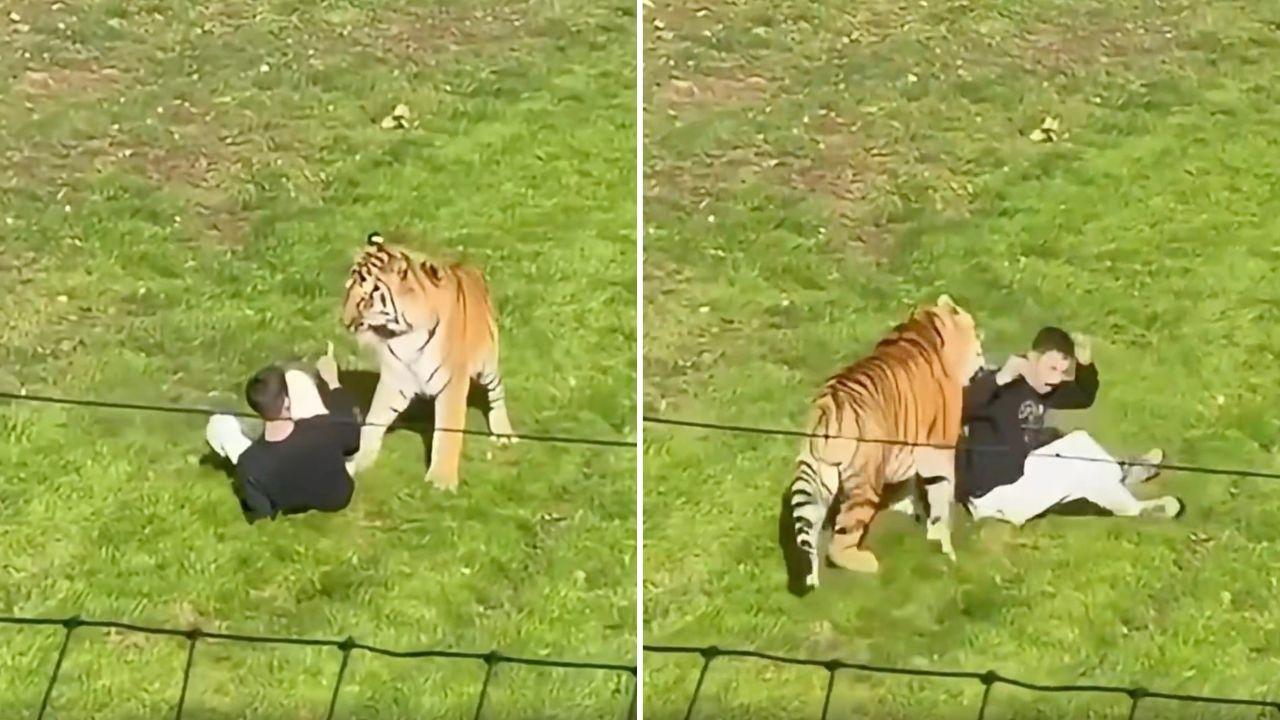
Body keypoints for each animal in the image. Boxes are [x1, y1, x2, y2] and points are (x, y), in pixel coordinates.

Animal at [340, 232, 515, 491]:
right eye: (348, 289)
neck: (403, 333)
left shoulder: (452, 382)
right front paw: (358, 461)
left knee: (497, 392)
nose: (345, 322)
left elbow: (447, 431)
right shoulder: (395, 378)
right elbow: (373, 422)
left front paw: (441, 480)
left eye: (367, 298)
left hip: (487, 365)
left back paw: (503, 433)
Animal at [789, 294, 985, 590]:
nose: (984, 360)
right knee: (839, 543)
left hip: (814, 481)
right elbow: (941, 496)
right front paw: (945, 546)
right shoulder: (937, 449)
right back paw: (868, 564)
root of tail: (828, 408)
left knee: (807, 537)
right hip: (864, 483)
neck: (922, 329)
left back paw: (811, 579)